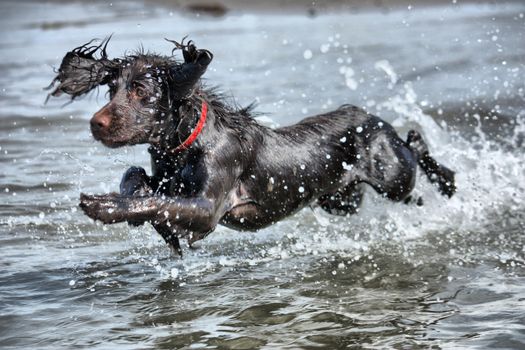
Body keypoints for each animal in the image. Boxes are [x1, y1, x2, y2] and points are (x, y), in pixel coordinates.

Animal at [47, 38, 454, 256]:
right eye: (111, 90)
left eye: (141, 90)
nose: (95, 124)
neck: (185, 148)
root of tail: (371, 117)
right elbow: (136, 178)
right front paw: (139, 211)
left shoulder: (208, 208)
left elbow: (160, 202)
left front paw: (103, 206)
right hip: (340, 200)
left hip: (394, 177)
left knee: (416, 153)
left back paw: (446, 177)